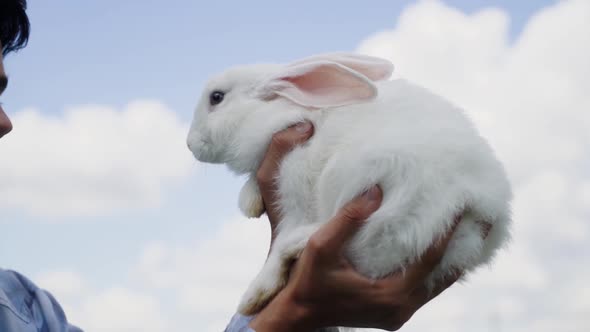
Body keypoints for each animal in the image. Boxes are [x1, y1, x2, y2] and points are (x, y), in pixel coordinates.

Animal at [186, 52, 512, 326]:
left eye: (217, 97)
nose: (190, 144)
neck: (276, 110)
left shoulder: (294, 179)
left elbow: (285, 229)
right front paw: (250, 200)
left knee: (301, 242)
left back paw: (255, 295)